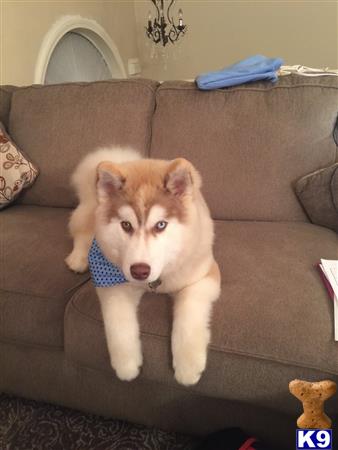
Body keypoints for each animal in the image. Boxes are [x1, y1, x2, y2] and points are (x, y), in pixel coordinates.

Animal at [65, 148, 220, 386]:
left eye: (161, 225)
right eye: (126, 225)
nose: (139, 271)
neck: (156, 281)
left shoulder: (204, 276)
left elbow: (189, 310)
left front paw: (188, 366)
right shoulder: (112, 283)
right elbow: (117, 322)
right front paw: (126, 365)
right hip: (91, 215)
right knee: (82, 232)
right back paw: (79, 259)